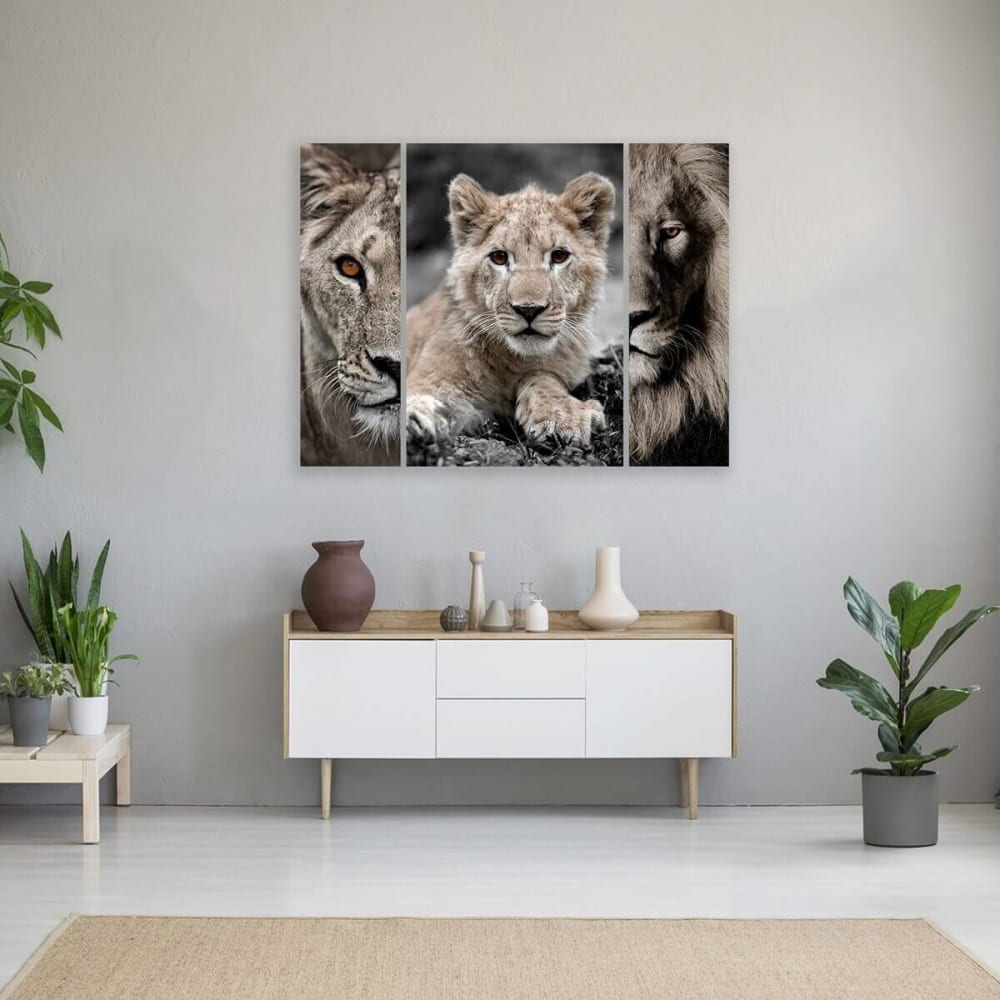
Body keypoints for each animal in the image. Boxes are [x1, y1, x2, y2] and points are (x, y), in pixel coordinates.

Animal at [406, 172, 615, 453]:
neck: (513, 360)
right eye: (499, 257)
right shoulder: (433, 380)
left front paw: (562, 415)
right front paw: (414, 418)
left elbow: (543, 376)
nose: (529, 310)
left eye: (559, 256)